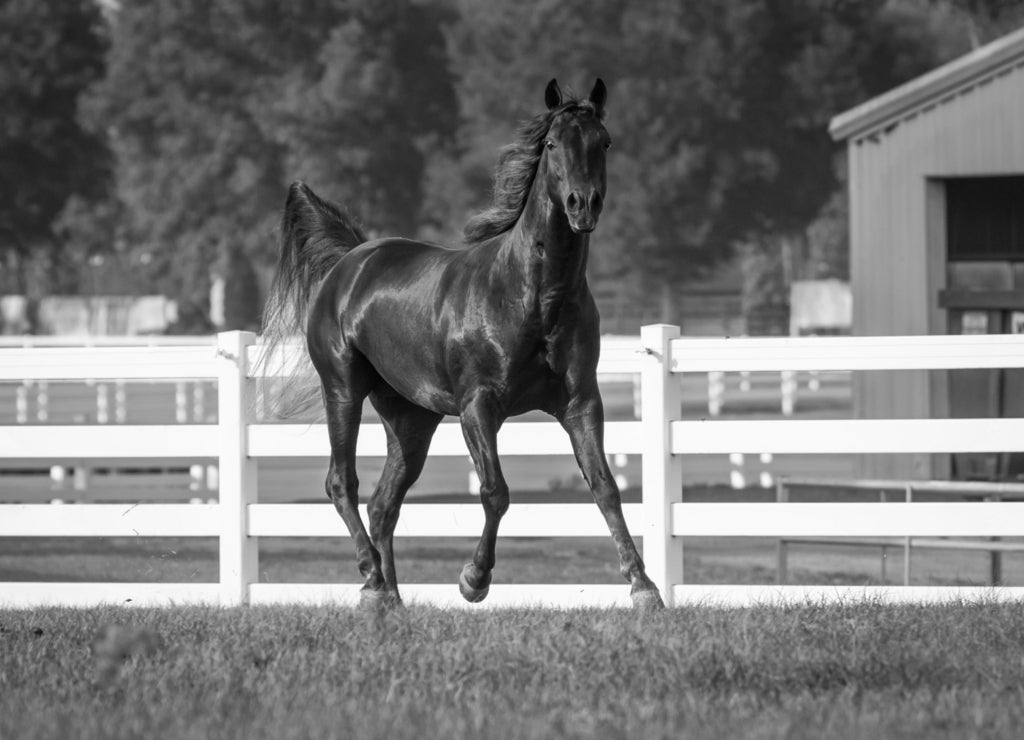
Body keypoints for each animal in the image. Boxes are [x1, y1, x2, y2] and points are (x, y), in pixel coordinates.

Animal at [260, 78, 664, 610]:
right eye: (552, 144)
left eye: (605, 141)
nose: (584, 204)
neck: (532, 295)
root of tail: (350, 261)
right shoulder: (479, 406)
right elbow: (495, 491)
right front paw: (474, 579)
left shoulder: (580, 404)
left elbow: (605, 487)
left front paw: (644, 587)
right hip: (343, 390)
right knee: (341, 483)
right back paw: (370, 576)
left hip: (411, 420)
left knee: (384, 503)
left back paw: (388, 598)